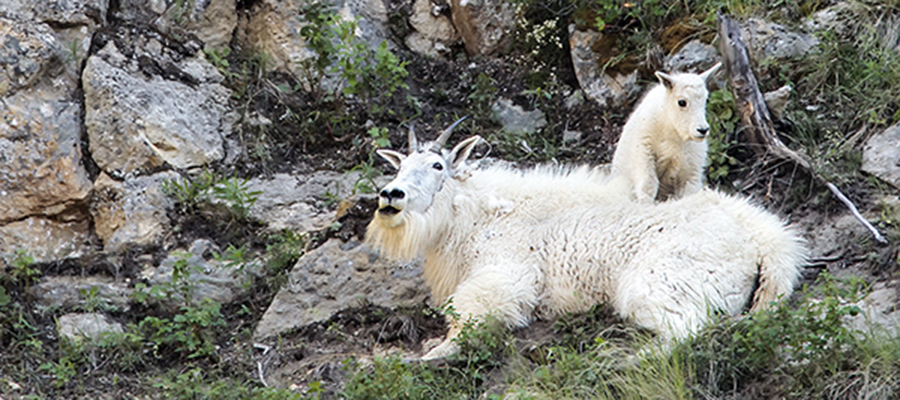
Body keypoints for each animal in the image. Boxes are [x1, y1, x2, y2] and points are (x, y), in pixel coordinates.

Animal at [367, 120, 804, 360]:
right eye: (401, 166)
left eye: (437, 165)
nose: (391, 195)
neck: (475, 214)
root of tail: (764, 240)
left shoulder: (507, 274)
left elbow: (469, 314)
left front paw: (430, 353)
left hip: (656, 281)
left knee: (688, 329)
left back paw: (629, 359)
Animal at [610, 63, 721, 202]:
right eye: (682, 102)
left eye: (706, 99)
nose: (702, 130)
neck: (672, 132)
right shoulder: (643, 151)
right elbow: (648, 185)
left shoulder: (690, 169)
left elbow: (688, 192)